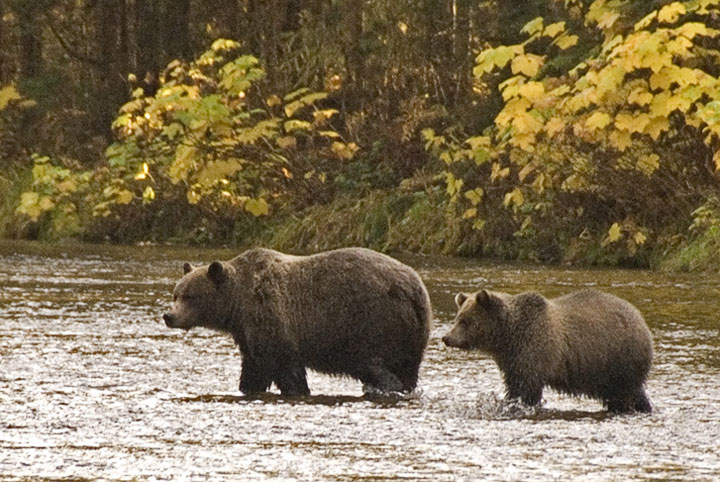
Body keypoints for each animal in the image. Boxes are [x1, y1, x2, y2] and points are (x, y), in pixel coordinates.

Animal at [164, 249, 434, 396]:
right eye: (176, 294)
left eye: (190, 296)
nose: (169, 316)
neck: (237, 305)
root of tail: (415, 289)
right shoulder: (247, 332)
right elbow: (254, 368)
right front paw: (247, 387)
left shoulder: (271, 318)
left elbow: (284, 367)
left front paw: (297, 389)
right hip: (413, 336)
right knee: (406, 369)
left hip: (371, 323)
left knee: (372, 364)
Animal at [442, 288, 656, 412]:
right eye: (457, 318)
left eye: (465, 321)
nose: (446, 338)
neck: (506, 337)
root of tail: (640, 318)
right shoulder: (511, 360)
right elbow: (514, 385)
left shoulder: (533, 350)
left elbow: (527, 388)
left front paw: (518, 404)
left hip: (619, 357)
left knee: (624, 394)